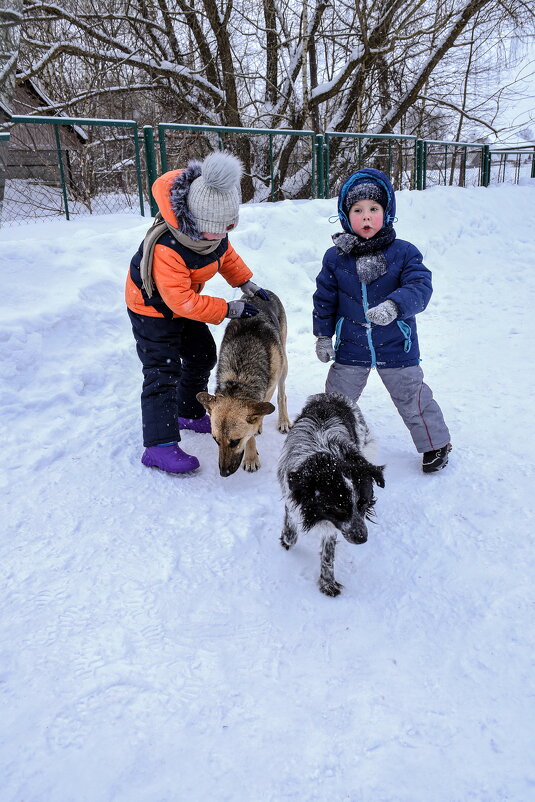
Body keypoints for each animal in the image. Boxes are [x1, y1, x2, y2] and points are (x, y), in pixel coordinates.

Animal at [197, 290, 292, 472]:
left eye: (235, 441)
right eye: (216, 440)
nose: (223, 473)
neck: (239, 376)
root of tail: (264, 291)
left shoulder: (268, 388)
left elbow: (255, 421)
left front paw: (250, 457)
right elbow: (253, 428)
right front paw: (251, 454)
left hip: (283, 363)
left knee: (282, 394)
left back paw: (283, 420)